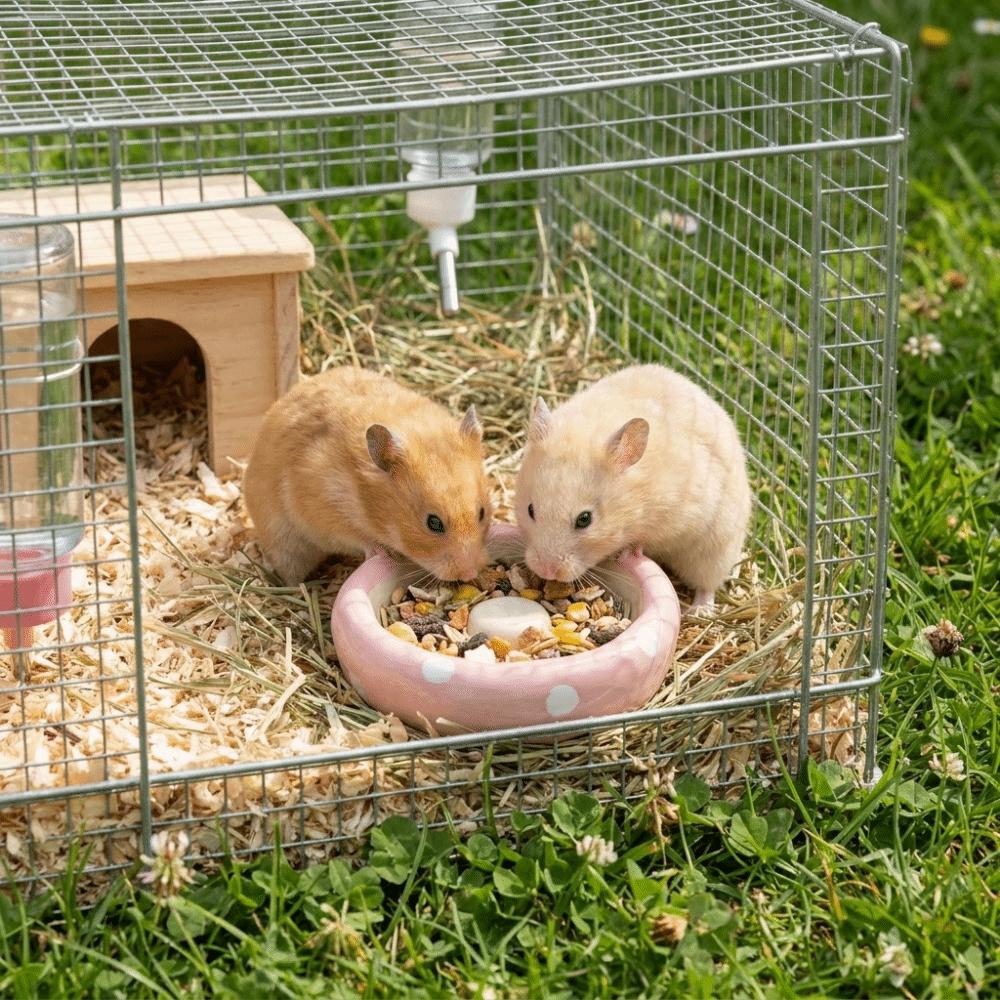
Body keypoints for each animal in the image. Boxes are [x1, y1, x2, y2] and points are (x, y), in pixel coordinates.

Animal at [244, 367, 493, 584]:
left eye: (482, 513)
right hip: (284, 543)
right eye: (434, 523)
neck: (366, 499)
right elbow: (358, 538)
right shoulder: (322, 510)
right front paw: (383, 552)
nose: (470, 574)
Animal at [515, 364, 751, 610]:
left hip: (716, 550)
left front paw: (628, 553)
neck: (636, 503)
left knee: (707, 584)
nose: (546, 570)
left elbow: (645, 541)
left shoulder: (679, 518)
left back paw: (699, 610)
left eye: (585, 519)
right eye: (530, 510)